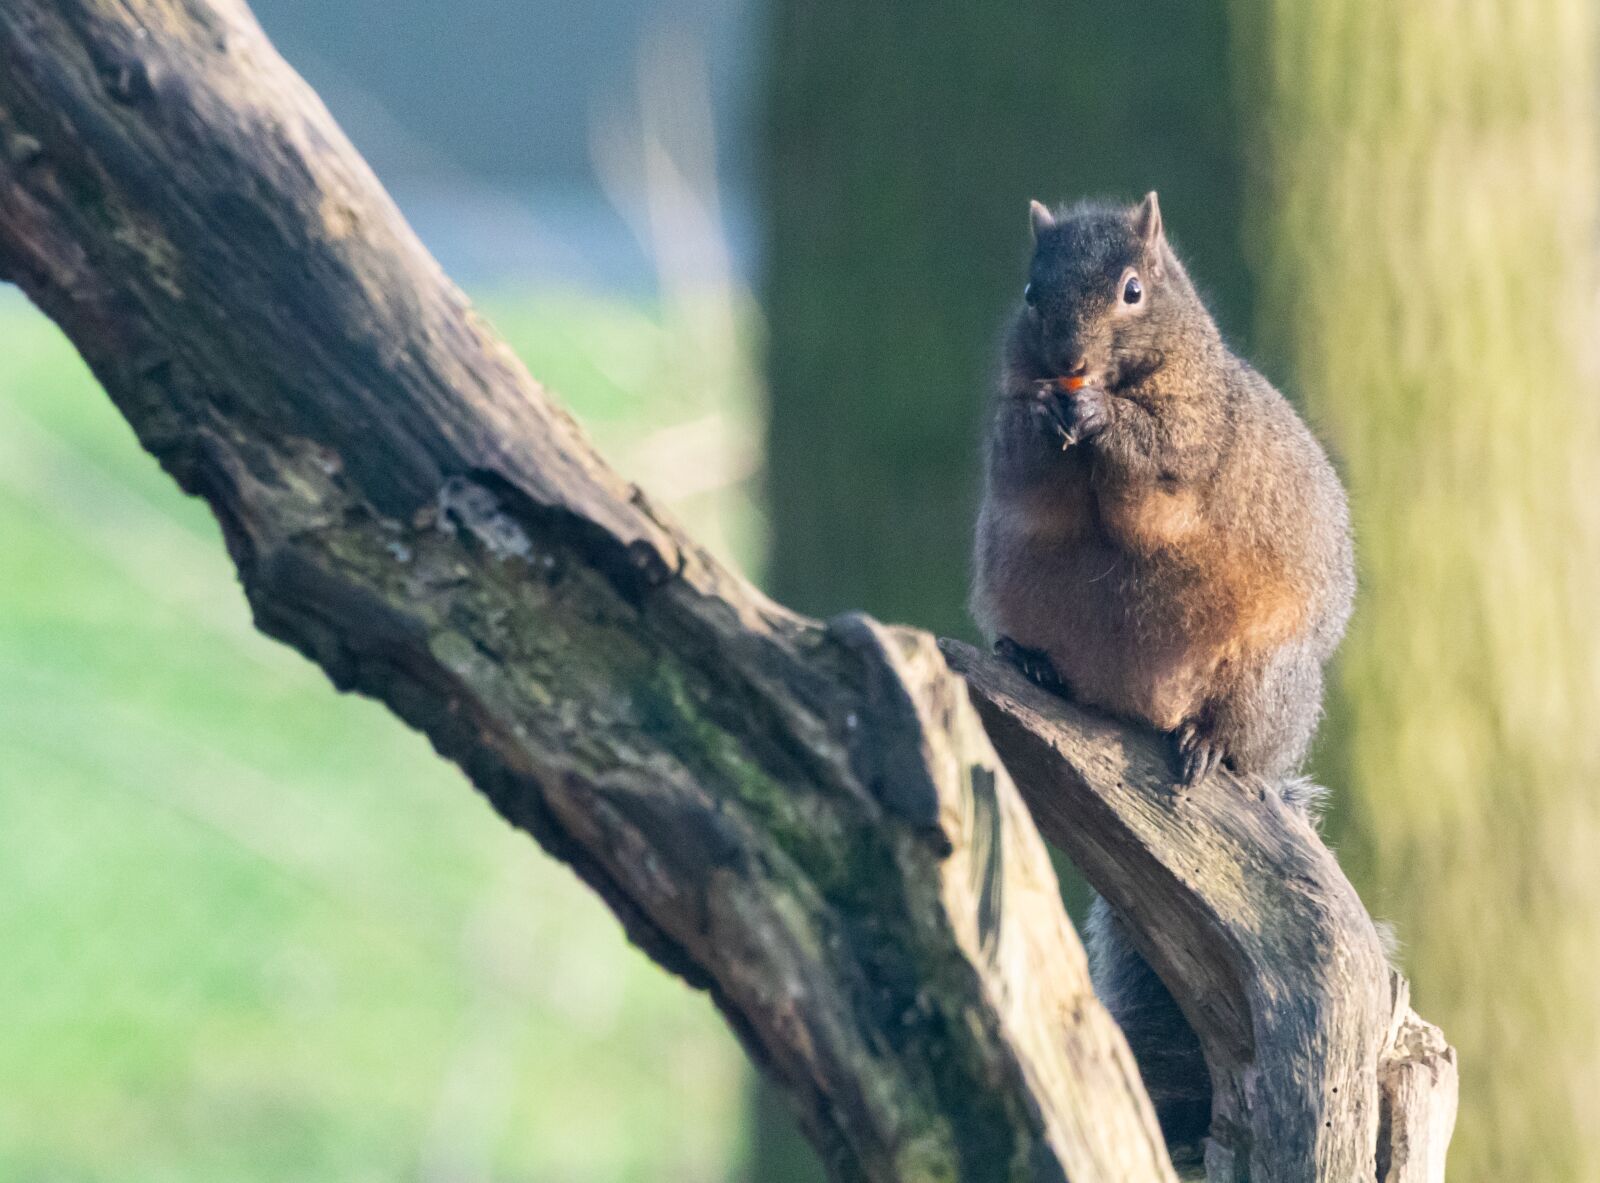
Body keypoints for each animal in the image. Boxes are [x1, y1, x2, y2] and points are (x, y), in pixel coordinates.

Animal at [970, 192, 1355, 1148]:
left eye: (1134, 289)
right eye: (1030, 289)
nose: (1067, 362)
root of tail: (1138, 706)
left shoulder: (1196, 433)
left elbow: (1161, 461)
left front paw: (1108, 423)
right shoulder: (1010, 431)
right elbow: (1025, 463)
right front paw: (1049, 416)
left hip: (1265, 680)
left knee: (1233, 736)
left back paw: (1205, 746)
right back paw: (1033, 663)